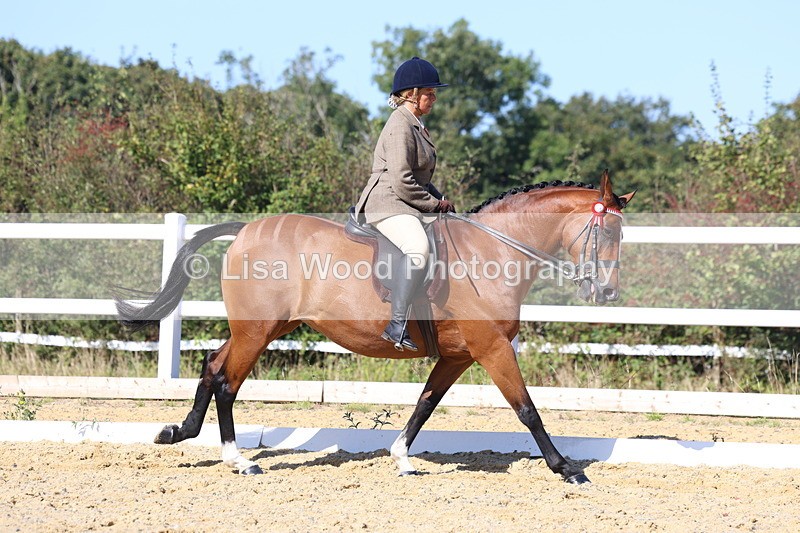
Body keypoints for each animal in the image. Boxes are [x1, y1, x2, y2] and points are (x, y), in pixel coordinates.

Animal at [115, 170, 635, 484]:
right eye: (609, 231)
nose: (608, 292)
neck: (493, 251)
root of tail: (245, 230)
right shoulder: (492, 349)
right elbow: (528, 410)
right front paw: (567, 468)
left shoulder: (458, 355)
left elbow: (425, 405)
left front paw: (402, 458)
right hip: (257, 332)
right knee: (226, 383)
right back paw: (238, 460)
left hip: (257, 329)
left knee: (211, 365)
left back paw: (178, 432)